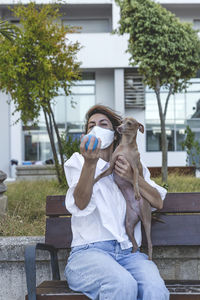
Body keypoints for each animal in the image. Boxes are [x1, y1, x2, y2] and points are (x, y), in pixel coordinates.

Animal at [94, 117, 153, 260]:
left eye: (130, 123)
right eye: (122, 121)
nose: (118, 128)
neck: (126, 146)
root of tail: (138, 214)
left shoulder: (134, 169)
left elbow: (136, 180)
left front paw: (136, 192)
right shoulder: (111, 166)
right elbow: (100, 175)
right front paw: (93, 180)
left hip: (146, 220)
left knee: (150, 243)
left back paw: (149, 258)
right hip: (128, 224)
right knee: (135, 245)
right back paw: (132, 253)